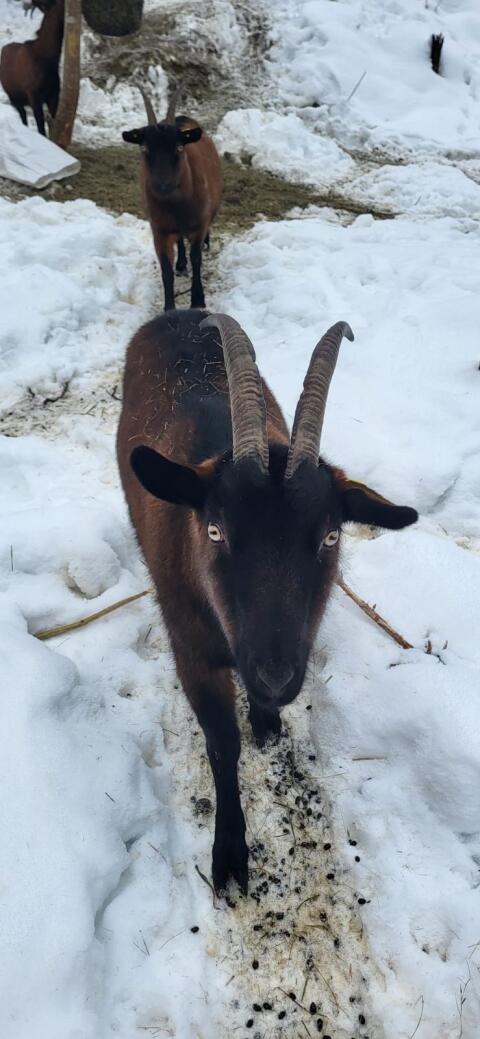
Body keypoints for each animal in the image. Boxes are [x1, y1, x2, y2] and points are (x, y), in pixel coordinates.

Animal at [0, 0, 63, 135]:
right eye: (61, 4)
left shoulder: (54, 95)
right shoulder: (34, 95)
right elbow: (41, 128)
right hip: (14, 97)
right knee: (23, 117)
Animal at [117, 310, 418, 893]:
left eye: (330, 536)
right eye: (215, 531)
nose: (276, 674)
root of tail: (180, 312)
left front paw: (266, 718)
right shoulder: (193, 654)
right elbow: (221, 744)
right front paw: (230, 854)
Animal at [122, 87, 222, 312]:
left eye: (178, 147)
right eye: (144, 148)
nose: (162, 185)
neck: (177, 205)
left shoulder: (199, 224)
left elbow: (197, 259)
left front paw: (198, 300)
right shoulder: (159, 229)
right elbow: (166, 268)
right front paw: (169, 307)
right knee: (179, 240)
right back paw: (181, 264)